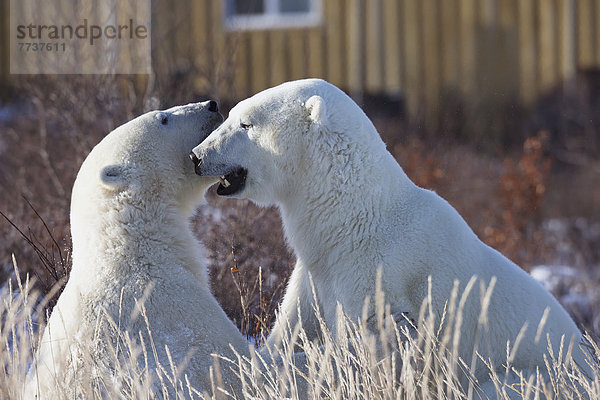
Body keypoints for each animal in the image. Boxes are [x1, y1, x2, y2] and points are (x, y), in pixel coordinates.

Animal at [191, 79, 592, 390]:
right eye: (231, 114)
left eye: (246, 124)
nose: (197, 156)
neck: (352, 218)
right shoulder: (316, 273)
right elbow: (293, 326)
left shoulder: (378, 275)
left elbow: (367, 345)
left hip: (533, 374)